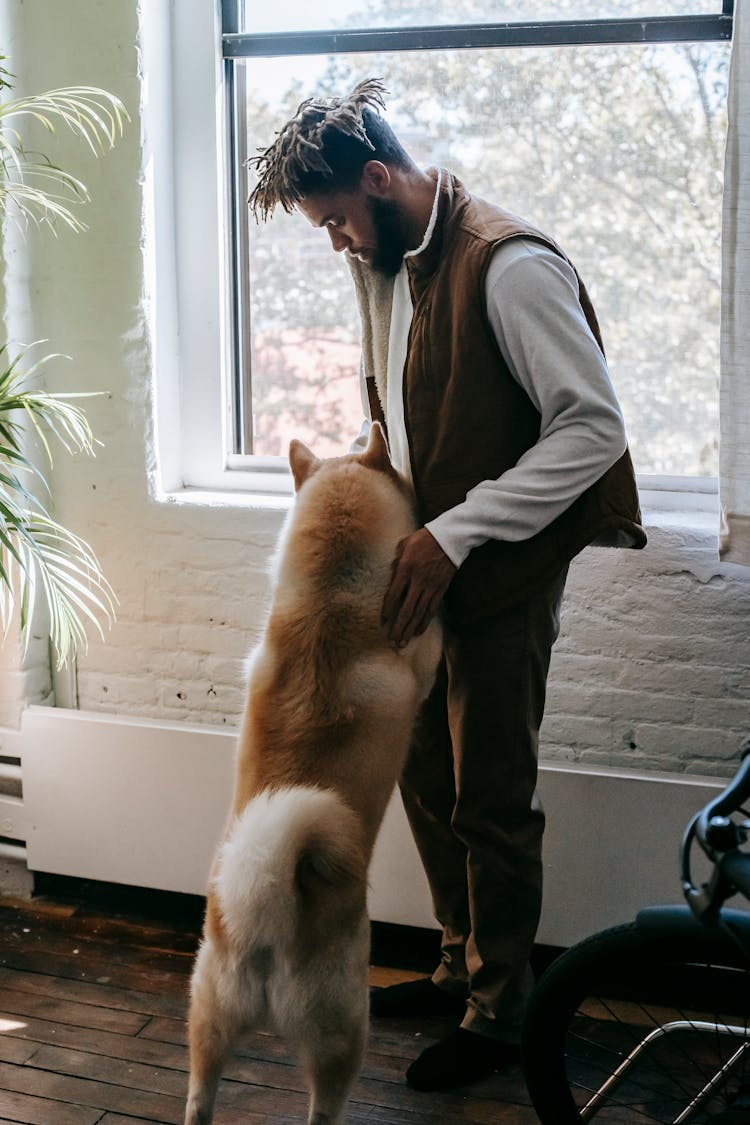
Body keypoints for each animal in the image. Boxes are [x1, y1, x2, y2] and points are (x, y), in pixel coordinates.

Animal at [184, 423, 443, 1125]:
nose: (370, 425)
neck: (334, 596)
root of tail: (267, 904)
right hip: (345, 1024)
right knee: (325, 1103)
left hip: (208, 1009)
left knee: (199, 1094)